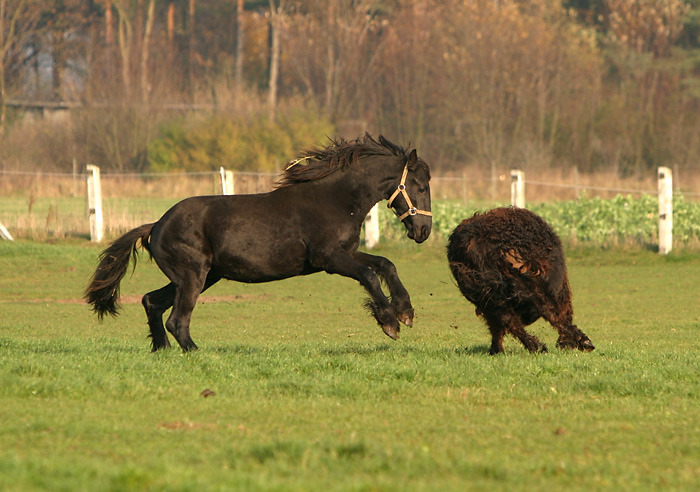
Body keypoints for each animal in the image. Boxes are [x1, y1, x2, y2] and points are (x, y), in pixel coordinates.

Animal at [85, 133, 430, 352]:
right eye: (421, 185)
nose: (424, 230)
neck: (333, 199)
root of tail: (156, 225)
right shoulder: (329, 259)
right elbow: (370, 275)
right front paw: (390, 322)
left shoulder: (346, 253)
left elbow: (385, 264)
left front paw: (406, 311)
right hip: (193, 277)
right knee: (177, 320)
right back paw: (196, 352)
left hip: (203, 276)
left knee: (152, 302)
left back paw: (162, 351)